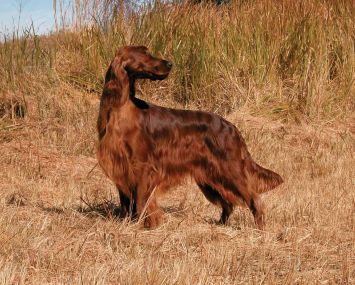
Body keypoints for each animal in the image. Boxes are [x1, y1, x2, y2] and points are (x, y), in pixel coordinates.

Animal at [96, 46, 284, 229]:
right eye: (145, 53)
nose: (170, 63)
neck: (121, 109)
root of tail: (232, 127)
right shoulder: (120, 165)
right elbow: (127, 201)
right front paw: (127, 222)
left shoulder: (143, 167)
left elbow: (142, 201)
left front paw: (145, 225)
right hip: (211, 177)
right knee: (228, 203)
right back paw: (220, 224)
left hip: (231, 170)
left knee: (254, 199)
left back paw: (260, 229)